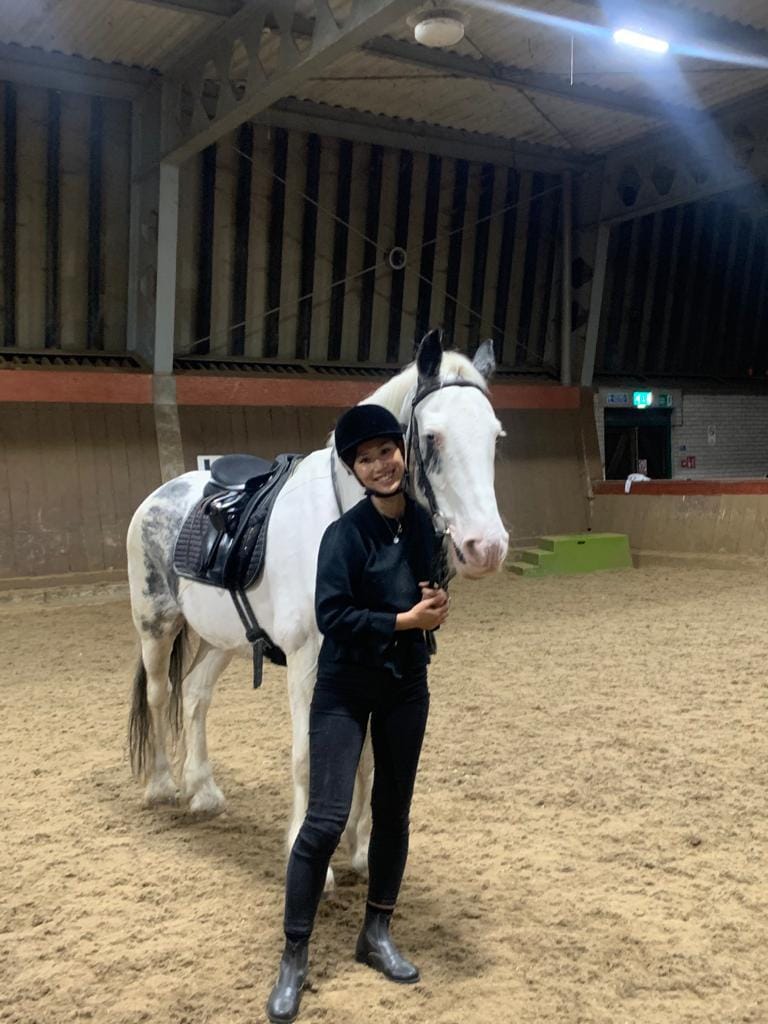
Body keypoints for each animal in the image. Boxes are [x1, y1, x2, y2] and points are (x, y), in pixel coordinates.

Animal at [126, 329, 509, 886]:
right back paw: (161, 784)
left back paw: (204, 790)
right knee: (160, 694)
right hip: (156, 626)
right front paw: (308, 857)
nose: (487, 547)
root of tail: (165, 492)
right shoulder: (309, 661)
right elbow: (310, 754)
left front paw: (360, 848)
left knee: (195, 695)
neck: (357, 526)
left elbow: (366, 758)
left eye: (494, 438)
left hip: (223, 639)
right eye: (432, 436)